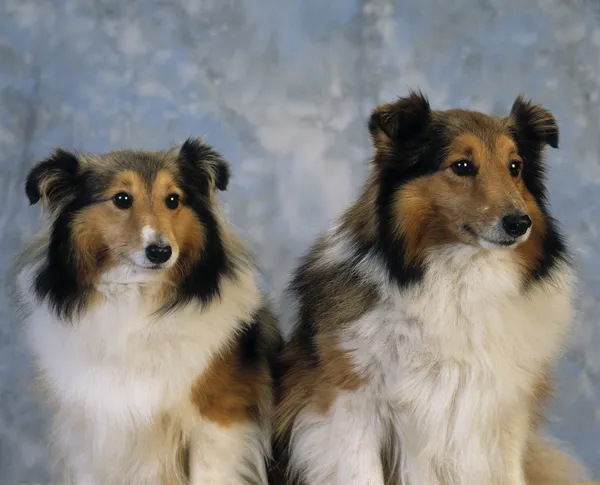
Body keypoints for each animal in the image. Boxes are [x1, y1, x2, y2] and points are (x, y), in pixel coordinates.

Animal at [13, 139, 282, 484]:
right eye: (122, 198)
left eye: (173, 199)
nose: (160, 251)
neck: (135, 300)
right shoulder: (92, 433)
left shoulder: (219, 425)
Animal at [276, 91, 584, 484]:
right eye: (462, 166)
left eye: (515, 166)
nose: (519, 223)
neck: (460, 279)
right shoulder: (348, 405)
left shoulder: (504, 415)